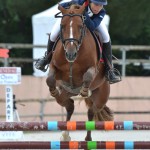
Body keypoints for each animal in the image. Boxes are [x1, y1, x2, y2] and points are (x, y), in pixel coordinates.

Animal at [46, 3, 113, 141]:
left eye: (81, 26)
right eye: (62, 26)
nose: (70, 54)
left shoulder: (93, 68)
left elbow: (88, 76)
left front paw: (85, 91)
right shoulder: (54, 66)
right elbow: (50, 79)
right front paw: (54, 91)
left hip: (101, 97)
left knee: (91, 111)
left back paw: (88, 139)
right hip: (66, 93)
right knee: (69, 105)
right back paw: (65, 135)